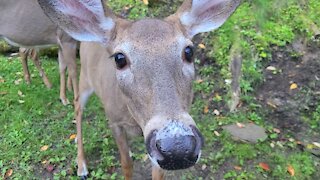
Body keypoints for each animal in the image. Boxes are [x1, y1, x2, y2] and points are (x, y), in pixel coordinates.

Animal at [38, 0, 240, 179]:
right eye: (119, 58)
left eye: (189, 51)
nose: (177, 147)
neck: (134, 121)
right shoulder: (115, 122)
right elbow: (127, 164)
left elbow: (158, 173)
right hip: (85, 80)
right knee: (78, 107)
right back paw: (82, 166)